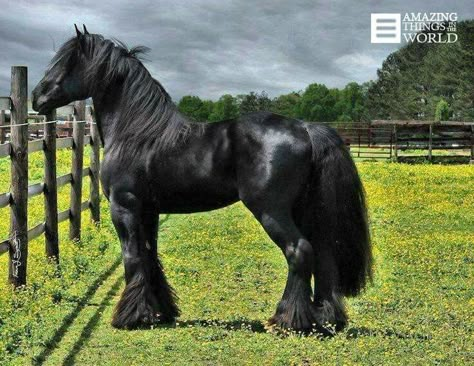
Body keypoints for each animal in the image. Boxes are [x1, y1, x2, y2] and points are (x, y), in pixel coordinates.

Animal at [32, 25, 374, 334]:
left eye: (67, 62)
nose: (37, 97)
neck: (137, 135)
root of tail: (305, 128)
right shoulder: (149, 210)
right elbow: (149, 255)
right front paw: (159, 312)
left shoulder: (125, 207)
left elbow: (132, 257)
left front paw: (130, 317)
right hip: (303, 209)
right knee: (323, 254)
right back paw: (325, 318)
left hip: (271, 210)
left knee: (299, 251)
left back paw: (286, 320)